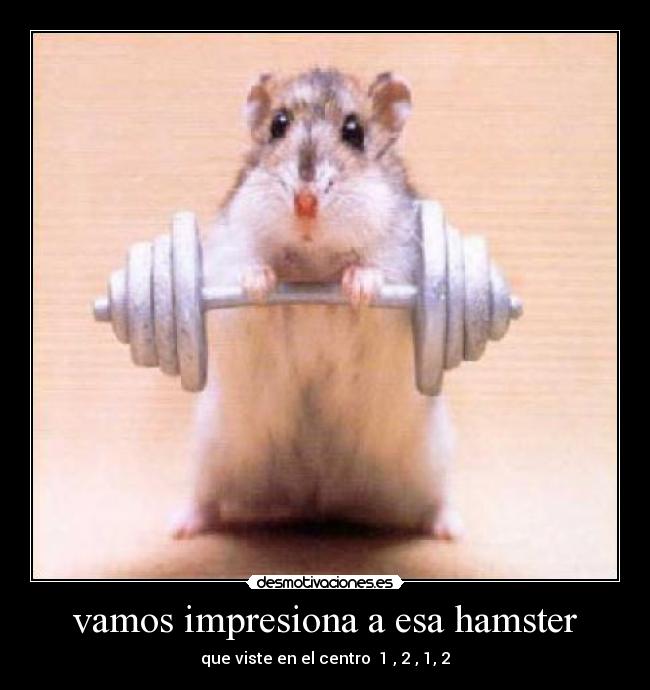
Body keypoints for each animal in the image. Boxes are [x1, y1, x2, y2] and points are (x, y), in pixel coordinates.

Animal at [171, 68, 463, 540]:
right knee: (207, 499)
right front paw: (259, 285)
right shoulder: (229, 252)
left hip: (432, 459)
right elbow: (250, 272)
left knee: (433, 502)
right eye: (278, 125)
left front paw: (359, 288)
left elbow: (373, 270)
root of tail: (318, 496)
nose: (305, 203)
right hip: (211, 450)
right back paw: (180, 527)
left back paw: (450, 529)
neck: (314, 260)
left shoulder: (400, 258)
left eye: (354, 132)